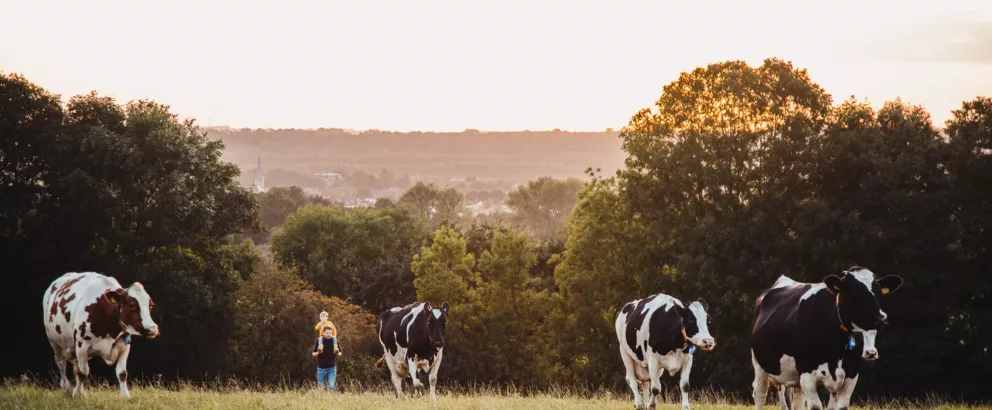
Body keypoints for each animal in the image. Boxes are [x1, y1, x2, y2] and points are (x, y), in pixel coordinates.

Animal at [43, 270, 160, 398]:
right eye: (132, 305)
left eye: (151, 305)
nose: (153, 329)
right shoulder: (81, 346)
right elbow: (83, 373)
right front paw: (76, 394)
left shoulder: (124, 346)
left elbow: (122, 373)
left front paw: (125, 396)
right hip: (55, 342)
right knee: (61, 364)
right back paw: (67, 388)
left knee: (74, 367)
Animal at [752, 266, 908, 410]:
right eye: (854, 292)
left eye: (878, 292)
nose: (881, 318)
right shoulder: (807, 374)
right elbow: (815, 406)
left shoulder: (851, 375)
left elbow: (840, 407)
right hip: (759, 364)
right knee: (760, 394)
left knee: (797, 402)